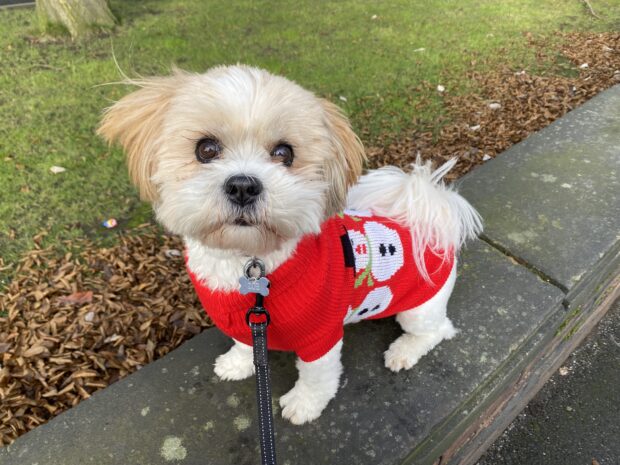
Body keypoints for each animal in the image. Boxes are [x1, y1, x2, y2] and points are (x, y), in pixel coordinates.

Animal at [98, 65, 484, 424]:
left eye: (285, 153)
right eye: (205, 149)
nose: (243, 185)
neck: (249, 262)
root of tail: (426, 217)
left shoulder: (320, 336)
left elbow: (317, 376)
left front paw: (303, 404)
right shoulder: (248, 321)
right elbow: (244, 344)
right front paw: (238, 364)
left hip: (418, 308)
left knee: (438, 330)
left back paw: (404, 351)